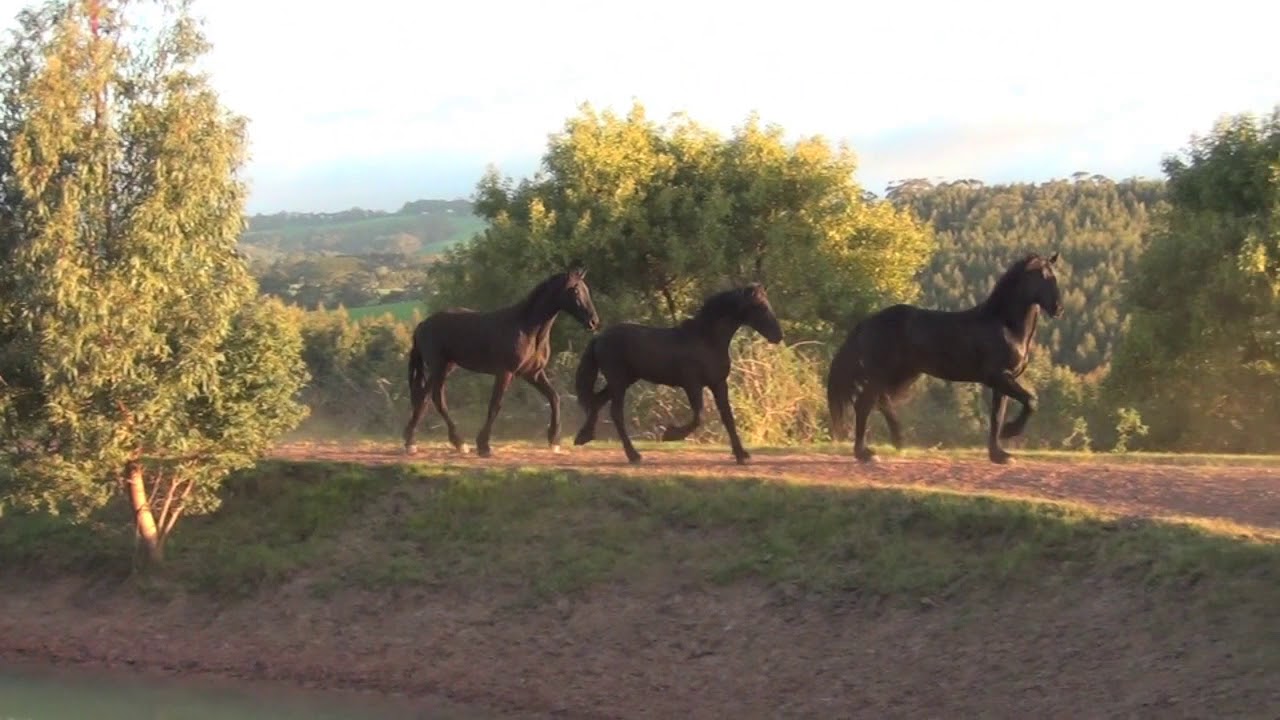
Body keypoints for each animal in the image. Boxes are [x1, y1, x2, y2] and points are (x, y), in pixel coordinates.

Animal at [402, 264, 600, 457]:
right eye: (575, 290)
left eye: (586, 290)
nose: (593, 322)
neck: (527, 329)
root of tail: (422, 325)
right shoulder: (505, 373)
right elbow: (495, 406)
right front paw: (484, 446)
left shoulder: (533, 373)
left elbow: (554, 397)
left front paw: (554, 441)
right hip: (438, 367)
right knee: (430, 398)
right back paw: (426, 443)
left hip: (446, 367)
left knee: (430, 398)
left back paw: (443, 442)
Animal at [572, 283, 783, 465]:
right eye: (759, 306)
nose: (778, 336)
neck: (707, 340)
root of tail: (599, 337)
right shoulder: (693, 385)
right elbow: (698, 416)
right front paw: (670, 434)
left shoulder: (718, 384)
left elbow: (728, 418)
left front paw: (741, 454)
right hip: (618, 381)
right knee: (615, 413)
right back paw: (633, 455)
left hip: (625, 380)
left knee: (597, 402)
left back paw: (584, 437)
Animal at [826, 252, 1064, 465]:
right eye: (1042, 277)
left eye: (1054, 276)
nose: (1058, 308)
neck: (1004, 325)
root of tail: (867, 322)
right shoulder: (997, 377)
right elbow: (1030, 401)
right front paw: (1009, 432)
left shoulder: (1003, 381)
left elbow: (997, 417)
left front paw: (999, 455)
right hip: (882, 373)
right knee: (864, 404)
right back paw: (865, 454)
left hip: (901, 375)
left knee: (881, 401)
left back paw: (898, 442)